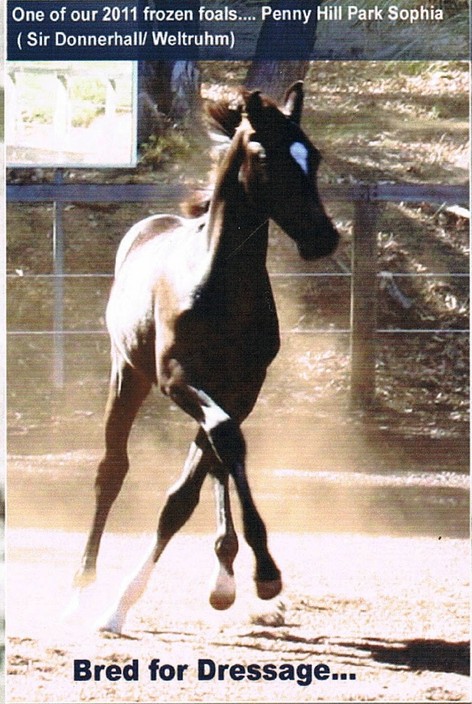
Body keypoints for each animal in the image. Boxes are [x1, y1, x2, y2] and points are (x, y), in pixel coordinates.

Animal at [74, 81, 340, 632]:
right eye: (266, 155)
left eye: (314, 155)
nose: (323, 237)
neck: (219, 283)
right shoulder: (176, 378)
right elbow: (220, 444)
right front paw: (263, 572)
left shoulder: (243, 388)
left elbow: (198, 478)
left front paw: (253, 575)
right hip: (127, 373)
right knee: (112, 469)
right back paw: (83, 583)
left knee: (214, 459)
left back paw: (224, 575)